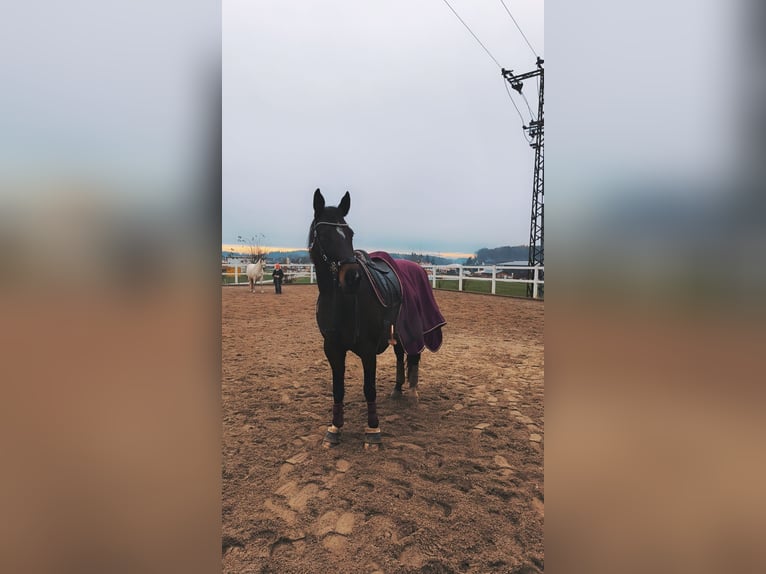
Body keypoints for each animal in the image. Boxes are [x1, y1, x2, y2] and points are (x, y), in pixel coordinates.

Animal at [309, 188, 446, 449]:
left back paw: (412, 392)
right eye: (323, 234)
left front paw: (373, 430)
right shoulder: (332, 348)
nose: (352, 277)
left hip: (414, 329)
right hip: (399, 331)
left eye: (350, 233)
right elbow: (338, 389)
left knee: (413, 356)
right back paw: (397, 389)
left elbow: (369, 388)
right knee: (400, 355)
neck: (341, 302)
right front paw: (334, 429)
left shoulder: (368, 349)